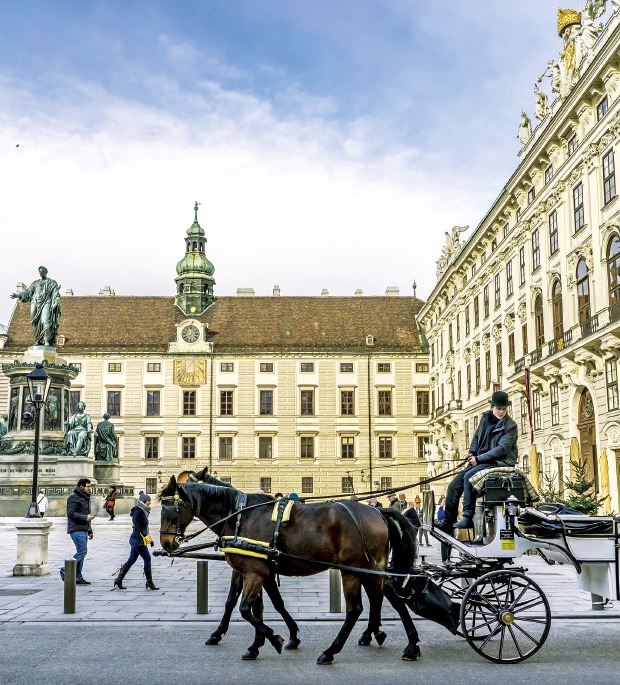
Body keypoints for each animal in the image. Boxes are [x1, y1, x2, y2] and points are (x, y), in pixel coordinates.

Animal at [160, 476, 422, 664]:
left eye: (170, 510)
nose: (165, 543)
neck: (239, 516)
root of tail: (377, 511)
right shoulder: (252, 571)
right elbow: (249, 605)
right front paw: (256, 643)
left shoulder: (256, 573)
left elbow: (246, 609)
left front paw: (275, 639)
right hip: (372, 568)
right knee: (388, 598)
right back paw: (404, 642)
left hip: (353, 569)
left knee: (356, 608)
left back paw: (331, 651)